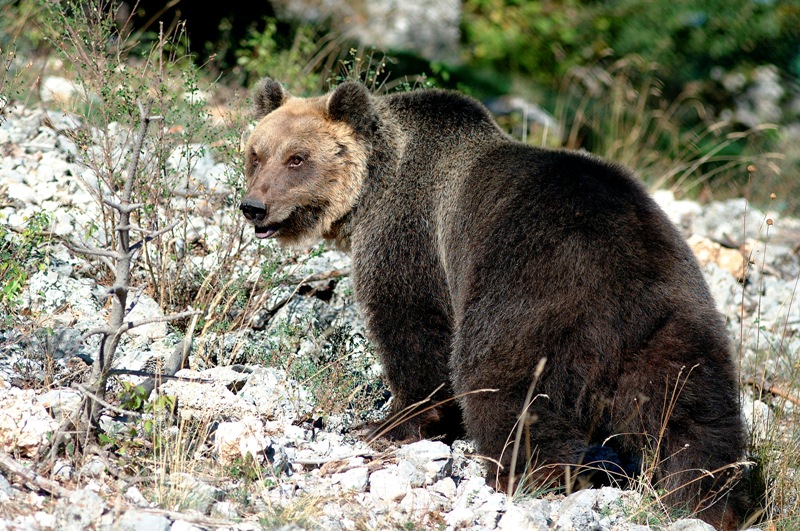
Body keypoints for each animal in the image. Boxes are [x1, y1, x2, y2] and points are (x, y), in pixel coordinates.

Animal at [239, 78, 753, 529]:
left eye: (297, 159)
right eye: (255, 154)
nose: (254, 207)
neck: (372, 190)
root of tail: (623, 286)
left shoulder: (412, 237)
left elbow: (412, 328)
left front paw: (386, 424)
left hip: (528, 298)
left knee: (505, 387)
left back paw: (519, 477)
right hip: (677, 323)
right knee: (697, 419)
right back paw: (709, 501)